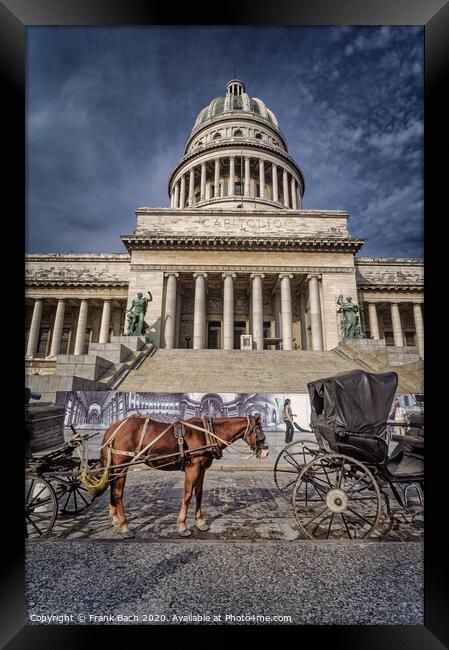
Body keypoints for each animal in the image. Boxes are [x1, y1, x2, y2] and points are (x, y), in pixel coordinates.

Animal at [99, 416, 266, 536]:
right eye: (259, 431)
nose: (265, 451)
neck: (207, 434)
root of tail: (113, 428)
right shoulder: (192, 468)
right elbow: (187, 495)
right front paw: (182, 526)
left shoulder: (201, 469)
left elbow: (198, 494)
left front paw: (200, 522)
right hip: (122, 465)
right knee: (118, 493)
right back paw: (125, 526)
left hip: (114, 466)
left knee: (112, 489)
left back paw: (115, 519)